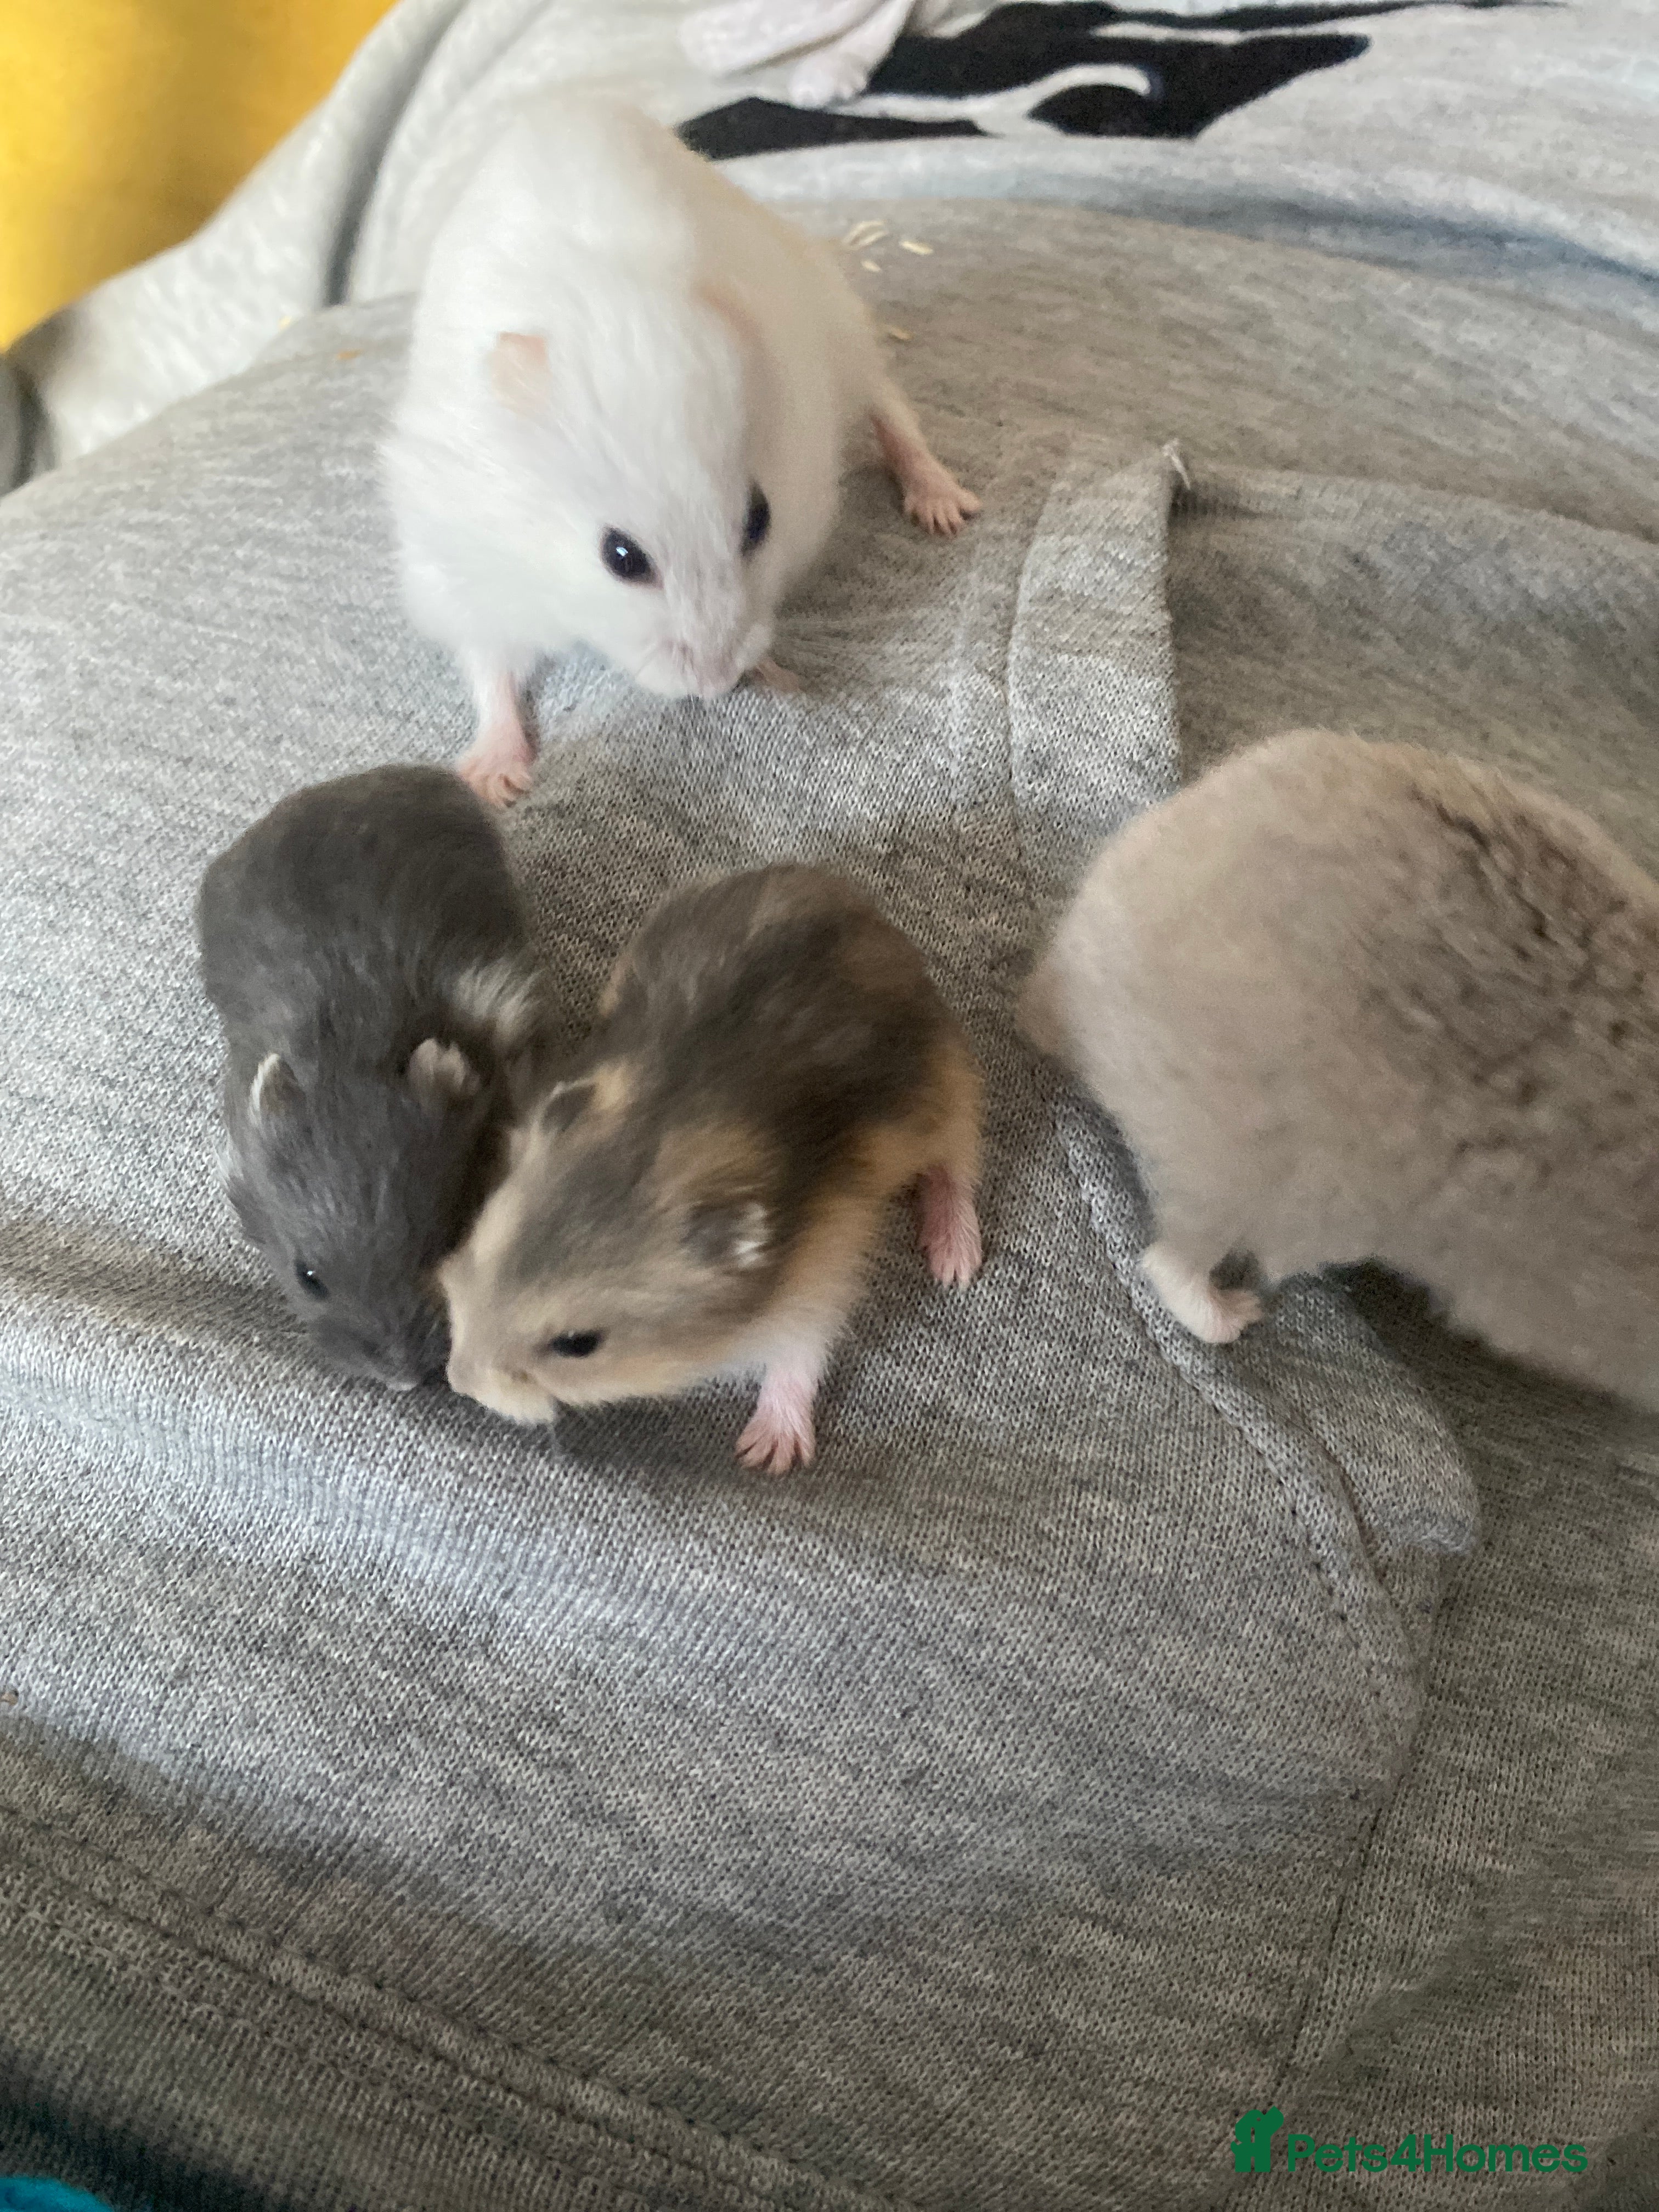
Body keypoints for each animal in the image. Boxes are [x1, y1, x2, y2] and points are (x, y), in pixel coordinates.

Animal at [384, 91, 980, 808]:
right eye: (621, 557)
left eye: (760, 521)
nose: (718, 685)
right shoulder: (461, 568)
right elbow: (491, 667)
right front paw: (496, 785)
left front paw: (779, 677)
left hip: (835, 323)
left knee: (892, 411)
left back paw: (944, 508)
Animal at [440, 865, 983, 1471]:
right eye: (478, 1243)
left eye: (579, 1345)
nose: (457, 1379)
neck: (665, 1128)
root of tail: (863, 907)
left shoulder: (820, 1278)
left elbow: (799, 1357)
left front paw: (766, 1456)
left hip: (950, 1084)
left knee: (955, 1166)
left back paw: (955, 1263)